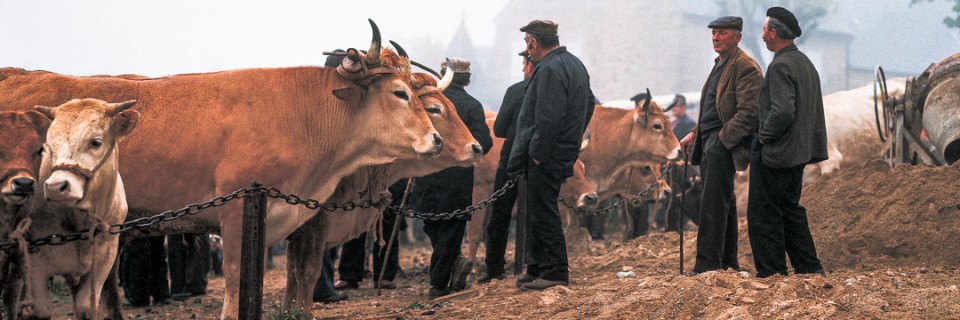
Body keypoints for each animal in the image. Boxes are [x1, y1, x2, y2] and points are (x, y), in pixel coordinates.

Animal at [24, 99, 139, 320]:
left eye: (95, 142)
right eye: (47, 146)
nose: (55, 187)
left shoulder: (105, 255)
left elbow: (85, 307)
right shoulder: (34, 258)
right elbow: (42, 309)